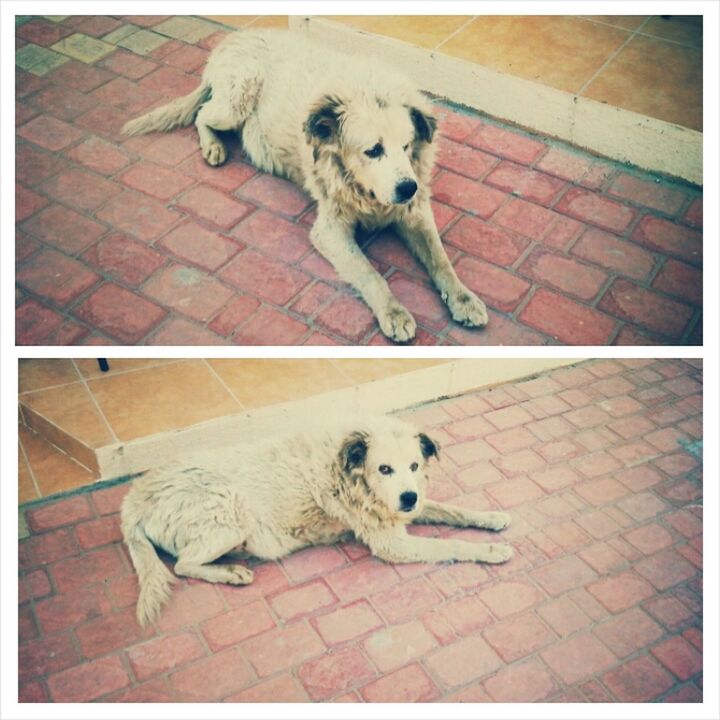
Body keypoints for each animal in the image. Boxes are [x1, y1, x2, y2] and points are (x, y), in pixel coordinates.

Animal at [121, 414, 512, 628]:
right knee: (183, 565)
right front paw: (493, 551)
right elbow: (453, 542)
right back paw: (230, 572)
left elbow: (452, 510)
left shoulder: (402, 509)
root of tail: (134, 498)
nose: (408, 497)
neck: (348, 469)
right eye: (384, 469)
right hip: (230, 515)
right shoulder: (392, 543)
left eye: (414, 466)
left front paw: (492, 517)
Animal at [124, 28, 492, 344]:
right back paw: (212, 146)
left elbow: (441, 260)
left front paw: (463, 298)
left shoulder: (415, 213)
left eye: (407, 146)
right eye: (373, 151)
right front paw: (394, 312)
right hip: (237, 99)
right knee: (202, 113)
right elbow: (370, 273)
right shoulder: (330, 229)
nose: (408, 189)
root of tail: (236, 35)